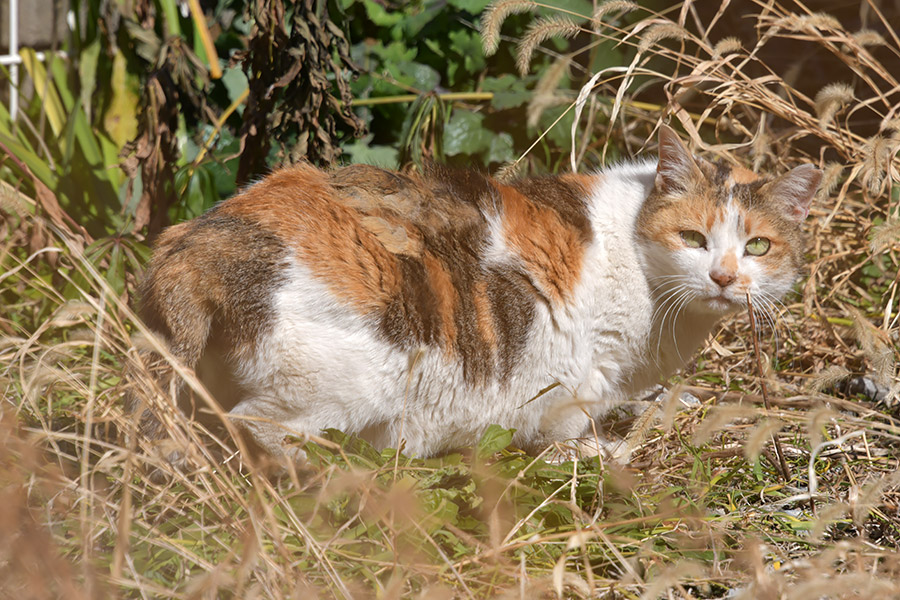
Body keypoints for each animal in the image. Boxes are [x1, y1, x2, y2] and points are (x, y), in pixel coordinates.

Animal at [134, 126, 824, 464]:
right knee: (253, 427)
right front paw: (585, 452)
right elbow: (565, 420)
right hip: (343, 376)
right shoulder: (580, 367)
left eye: (758, 246)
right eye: (693, 237)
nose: (725, 277)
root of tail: (193, 240)